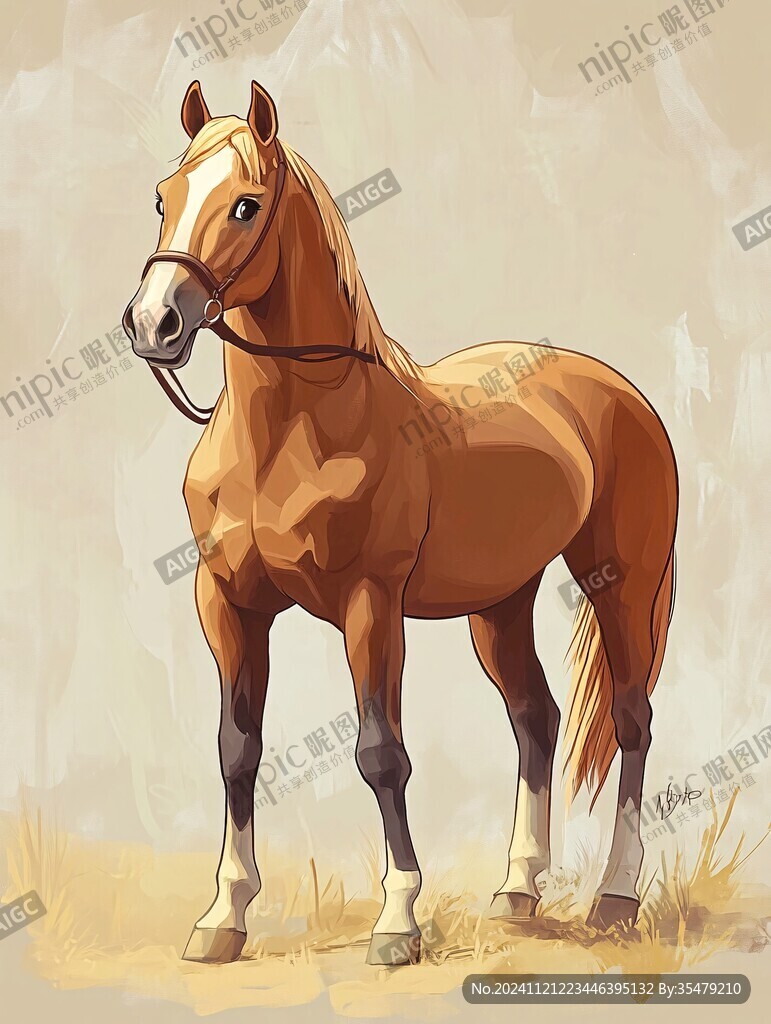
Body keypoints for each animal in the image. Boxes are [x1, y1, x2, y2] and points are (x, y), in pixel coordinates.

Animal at [122, 81, 678, 966]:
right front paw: (222, 917)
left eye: (245, 205)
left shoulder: (370, 605)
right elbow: (237, 751)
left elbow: (379, 754)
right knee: (535, 717)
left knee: (631, 721)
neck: (289, 434)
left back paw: (615, 899)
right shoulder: (227, 605)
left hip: (621, 583)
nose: (152, 325)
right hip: (499, 603)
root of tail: (614, 388)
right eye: (162, 198)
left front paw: (397, 922)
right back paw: (516, 892)